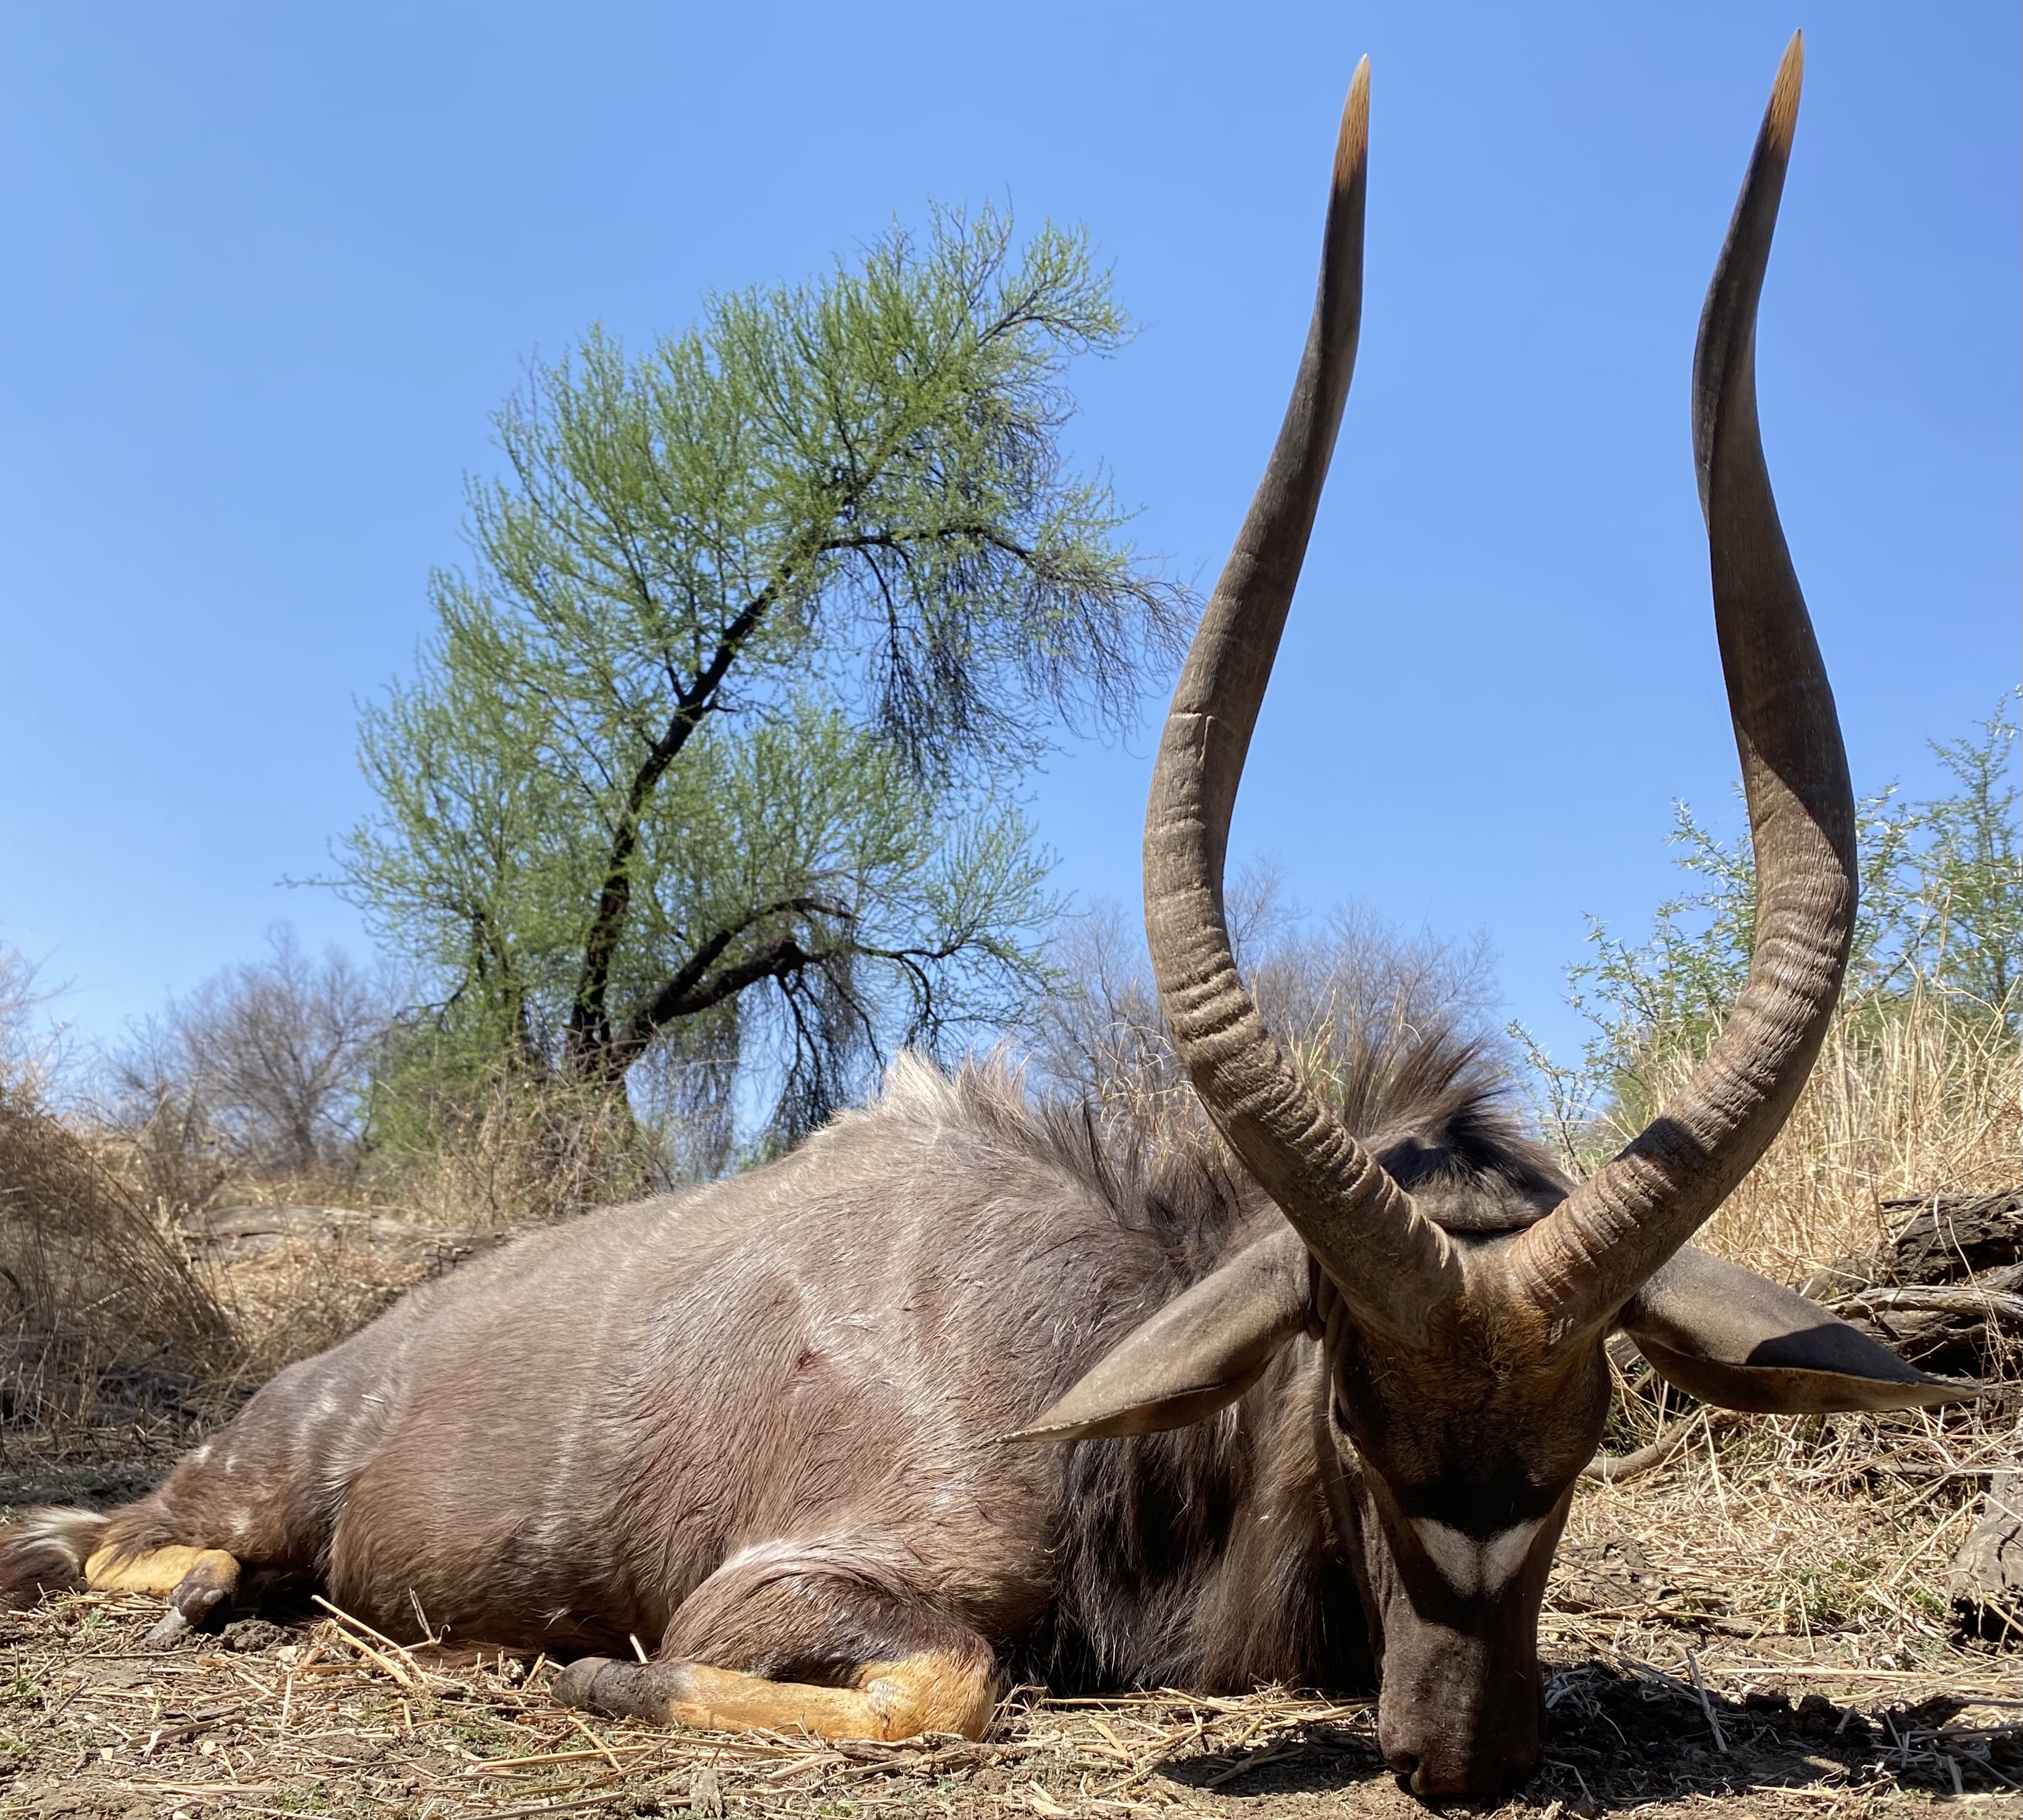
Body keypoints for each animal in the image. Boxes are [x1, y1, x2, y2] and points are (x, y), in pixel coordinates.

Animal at [1, 38, 1974, 1799]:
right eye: (1352, 1403)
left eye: (1586, 1429)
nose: (1460, 1755)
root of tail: (349, 1357)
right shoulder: (799, 1582)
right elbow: (950, 1681)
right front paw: (584, 1677)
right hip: (247, 1485)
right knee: (106, 1534)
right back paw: (196, 1586)